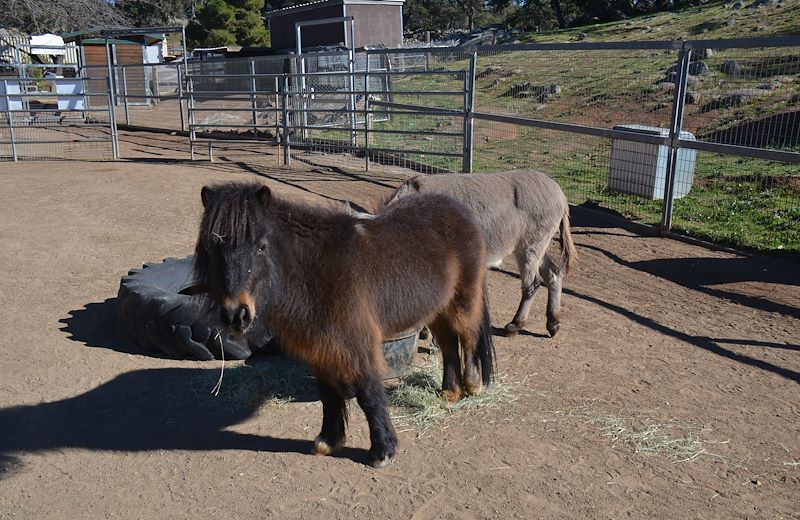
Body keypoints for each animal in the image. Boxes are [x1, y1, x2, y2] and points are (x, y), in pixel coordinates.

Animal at [194, 182, 494, 468]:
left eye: (261, 246)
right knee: (448, 345)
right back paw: (450, 392)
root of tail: (459, 210)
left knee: (467, 336)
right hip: (435, 309)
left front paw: (382, 451)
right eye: (210, 248)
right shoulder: (320, 348)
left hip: (462, 300)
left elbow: (368, 395)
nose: (236, 315)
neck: (316, 270)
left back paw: (472, 385)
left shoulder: (358, 344)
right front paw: (329, 441)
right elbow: (329, 395)